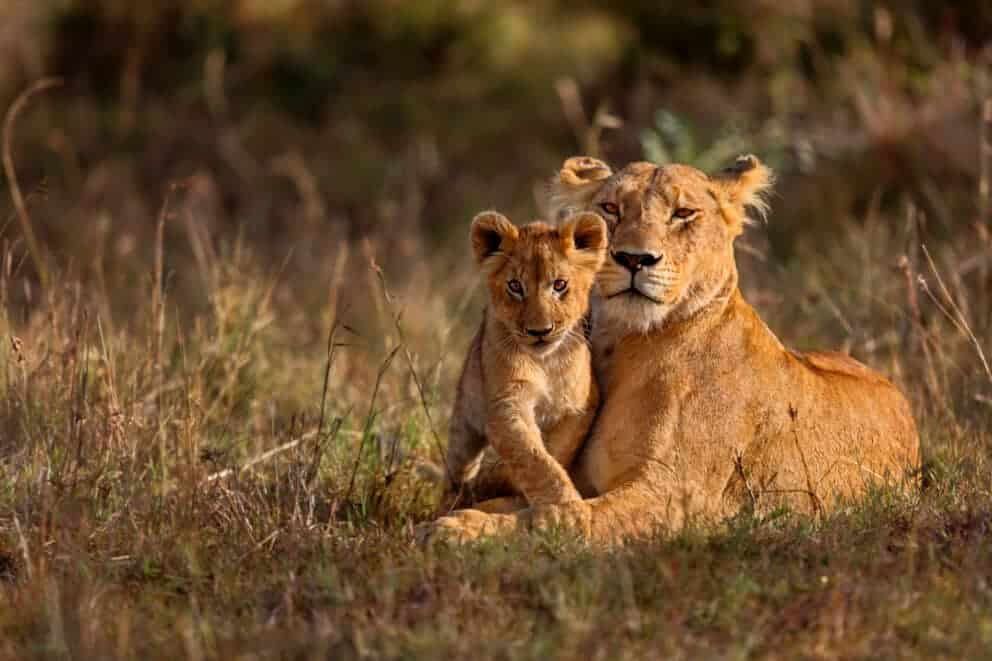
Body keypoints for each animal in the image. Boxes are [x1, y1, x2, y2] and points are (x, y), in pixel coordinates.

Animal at [442, 210, 608, 513]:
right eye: (515, 286)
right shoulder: (506, 404)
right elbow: (534, 459)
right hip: (464, 422)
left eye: (559, 285)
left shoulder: (581, 406)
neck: (546, 363)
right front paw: (567, 508)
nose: (539, 331)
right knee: (456, 471)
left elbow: (554, 452)